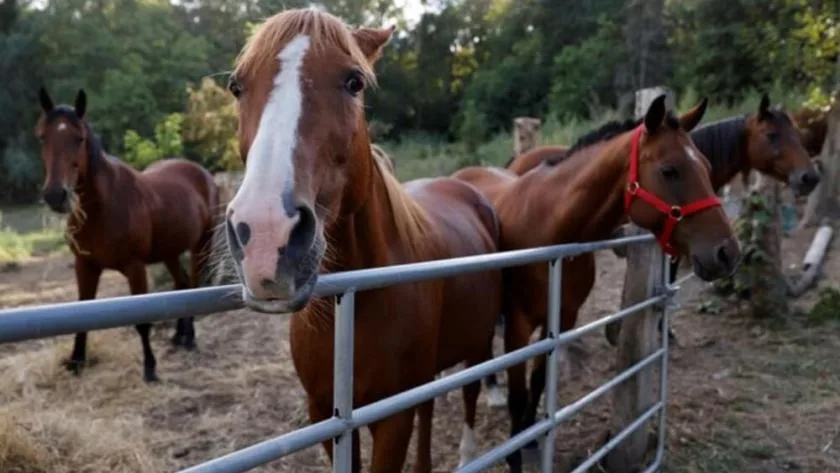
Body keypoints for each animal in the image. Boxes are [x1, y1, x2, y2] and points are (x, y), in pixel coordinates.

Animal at [35, 87, 220, 383]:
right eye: (43, 136)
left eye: (79, 138)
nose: (55, 195)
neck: (102, 207)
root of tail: (202, 173)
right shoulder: (85, 265)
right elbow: (81, 310)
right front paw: (76, 362)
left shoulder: (135, 268)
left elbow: (142, 320)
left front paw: (150, 368)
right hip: (169, 252)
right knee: (181, 284)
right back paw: (179, 336)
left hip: (202, 244)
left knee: (194, 285)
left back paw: (189, 338)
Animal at [222, 9, 501, 472]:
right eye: (237, 86)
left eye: (354, 81)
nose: (265, 236)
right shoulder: (326, 415)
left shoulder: (392, 419)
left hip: (476, 344)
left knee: (470, 392)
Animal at [452, 95, 741, 473]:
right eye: (670, 170)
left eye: (707, 166)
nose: (727, 253)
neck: (549, 226)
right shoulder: (519, 324)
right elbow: (518, 395)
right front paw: (515, 451)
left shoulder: (560, 318)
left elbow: (538, 381)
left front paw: (530, 437)